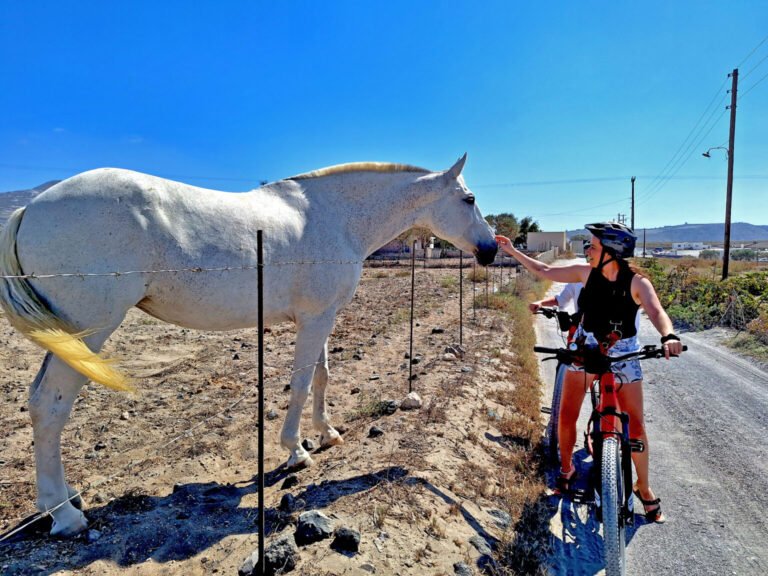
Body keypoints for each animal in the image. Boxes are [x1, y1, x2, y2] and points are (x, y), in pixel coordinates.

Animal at [0, 154, 496, 536]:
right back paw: (64, 516)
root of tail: (30, 209)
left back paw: (67, 500)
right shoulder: (314, 319)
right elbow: (300, 384)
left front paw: (328, 433)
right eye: (469, 199)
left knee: (39, 402)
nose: (491, 250)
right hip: (89, 333)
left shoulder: (322, 317)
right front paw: (296, 451)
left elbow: (322, 376)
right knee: (50, 406)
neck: (335, 217)